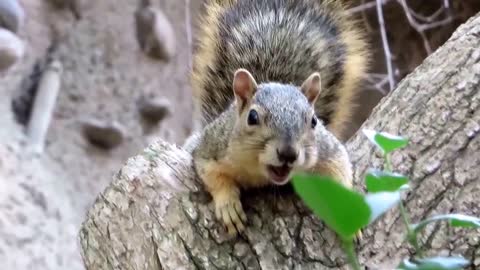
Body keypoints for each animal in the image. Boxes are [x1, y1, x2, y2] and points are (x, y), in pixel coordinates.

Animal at [183, 0, 368, 236]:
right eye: (252, 117)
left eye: (313, 121)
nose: (288, 153)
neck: (262, 174)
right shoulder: (212, 147)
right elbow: (211, 174)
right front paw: (228, 205)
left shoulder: (327, 150)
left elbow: (340, 167)